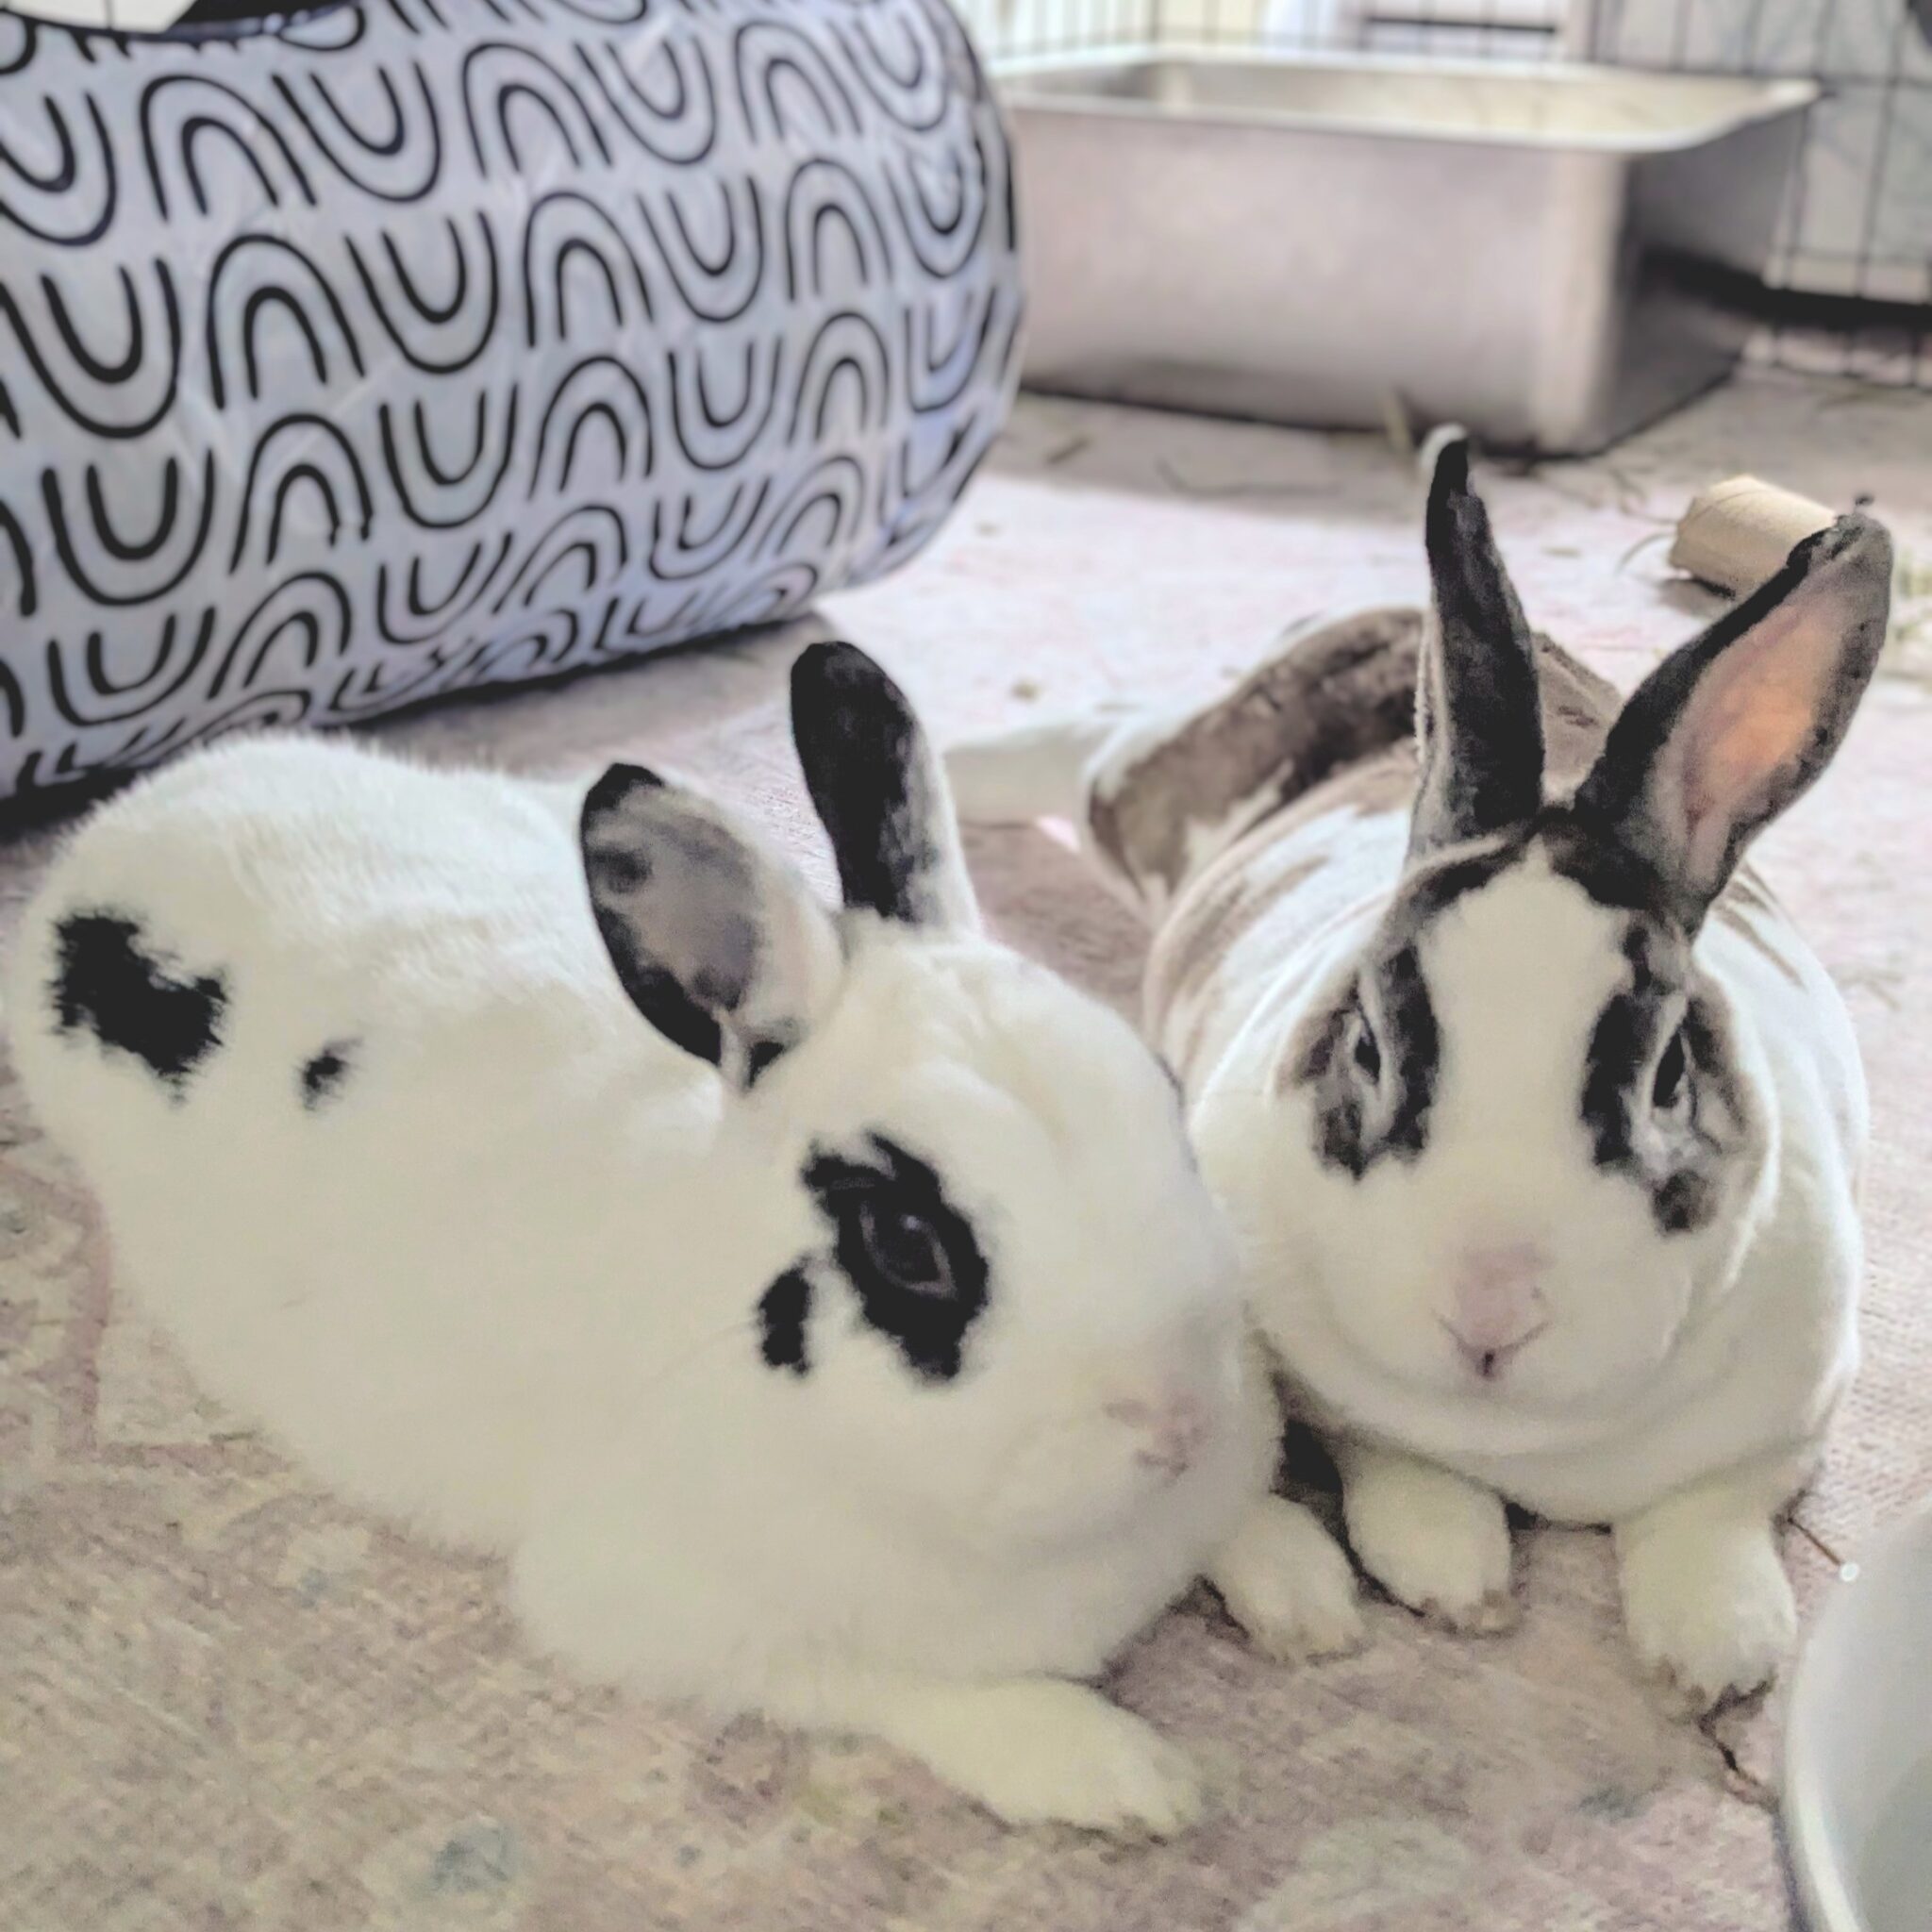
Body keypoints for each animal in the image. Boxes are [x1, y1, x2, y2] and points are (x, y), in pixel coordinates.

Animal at [0, 640, 1364, 1835]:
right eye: (906, 1244)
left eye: (1165, 1101)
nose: (1176, 1415)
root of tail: (122, 822)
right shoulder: (674, 1612)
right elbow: (917, 1691)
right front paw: (1125, 1776)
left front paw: (1310, 1597)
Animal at [946, 439, 1893, 1713]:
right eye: (1368, 1045)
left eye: (1665, 1073)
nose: (1488, 1312)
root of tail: (1375, 616)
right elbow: (1380, 1458)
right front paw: (1447, 1572)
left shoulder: (1791, 1413)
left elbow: (1710, 1509)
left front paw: (1714, 1651)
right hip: (1159, 801)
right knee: (1099, 745)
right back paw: (957, 757)